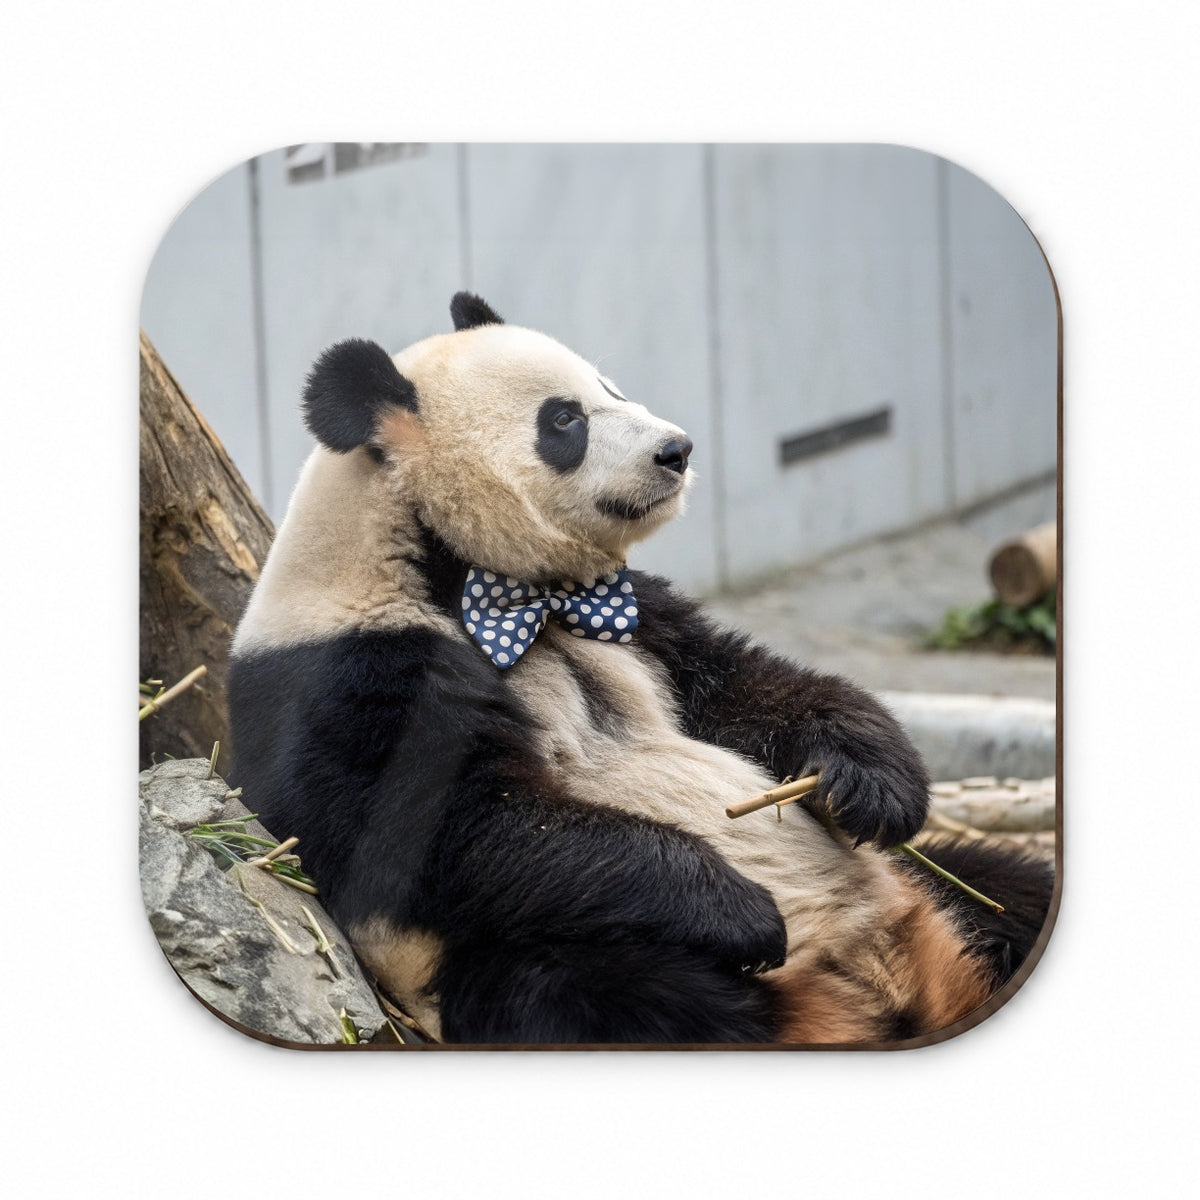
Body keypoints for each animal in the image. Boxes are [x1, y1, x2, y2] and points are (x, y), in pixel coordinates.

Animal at [228, 291, 1053, 1045]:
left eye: (611, 386)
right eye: (564, 421)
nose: (676, 450)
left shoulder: (636, 619)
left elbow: (745, 687)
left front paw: (869, 783)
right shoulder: (353, 674)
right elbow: (461, 830)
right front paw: (742, 910)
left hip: (935, 888)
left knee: (1007, 884)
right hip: (504, 966)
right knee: (615, 990)